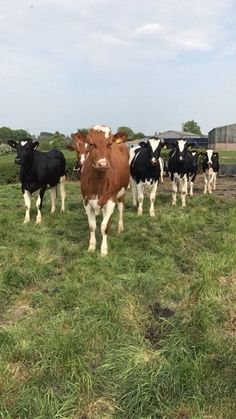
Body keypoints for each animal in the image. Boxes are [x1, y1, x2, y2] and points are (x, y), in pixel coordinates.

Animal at [80, 124, 130, 256]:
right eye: (91, 144)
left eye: (109, 143)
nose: (102, 164)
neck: (98, 182)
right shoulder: (86, 201)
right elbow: (92, 225)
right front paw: (92, 247)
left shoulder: (111, 201)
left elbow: (104, 227)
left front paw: (103, 250)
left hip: (122, 192)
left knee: (121, 208)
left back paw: (120, 227)